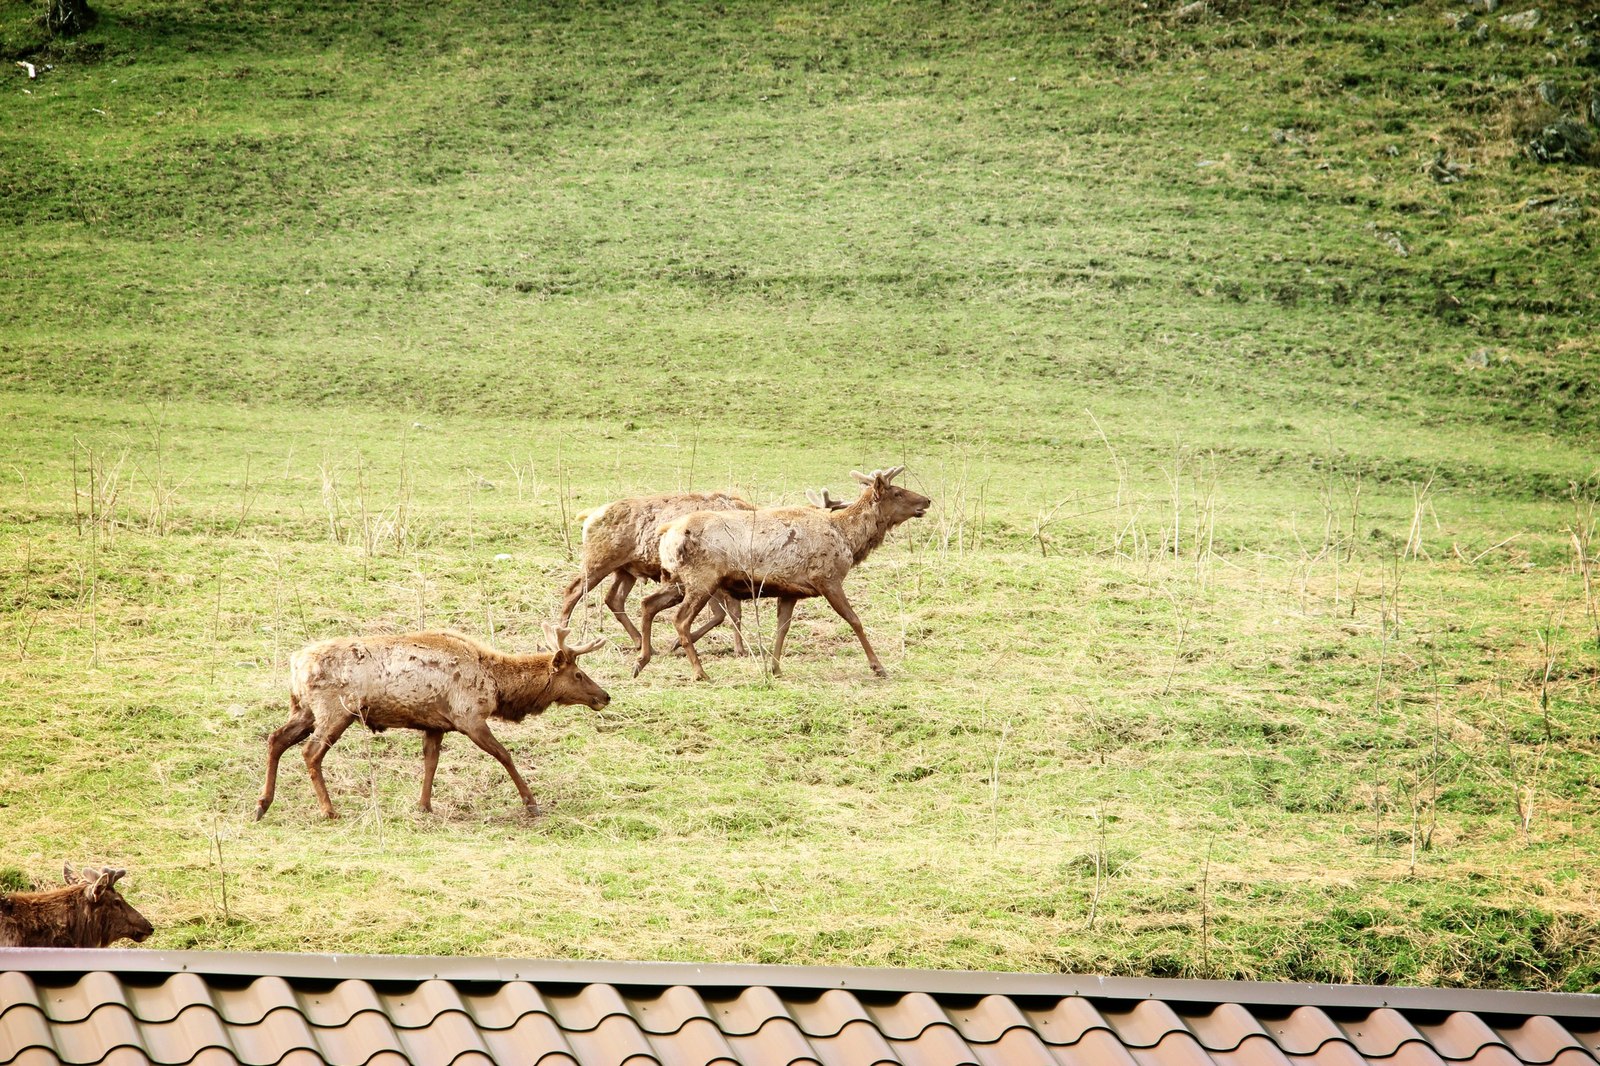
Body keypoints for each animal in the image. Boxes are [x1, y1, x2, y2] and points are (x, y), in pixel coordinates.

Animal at [256, 617, 611, 816]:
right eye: (578, 674)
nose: (605, 696)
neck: (498, 687)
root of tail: (295, 663)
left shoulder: (435, 724)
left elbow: (430, 763)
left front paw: (424, 806)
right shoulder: (469, 716)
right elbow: (504, 755)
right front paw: (531, 803)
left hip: (303, 709)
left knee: (276, 739)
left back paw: (263, 804)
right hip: (335, 710)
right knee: (310, 752)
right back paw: (328, 810)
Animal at [633, 467, 934, 681]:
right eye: (897, 492)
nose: (927, 500)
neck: (848, 540)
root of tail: (667, 533)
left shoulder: (791, 590)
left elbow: (782, 628)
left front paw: (775, 669)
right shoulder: (827, 578)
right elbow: (855, 620)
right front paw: (878, 666)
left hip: (676, 579)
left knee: (648, 604)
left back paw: (641, 661)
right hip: (701, 578)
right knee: (680, 619)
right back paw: (699, 672)